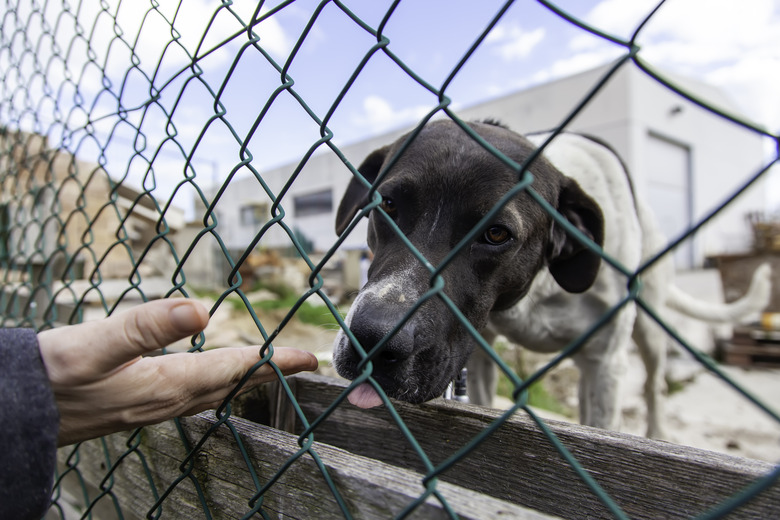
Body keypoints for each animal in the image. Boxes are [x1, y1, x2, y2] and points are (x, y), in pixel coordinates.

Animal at [332, 119, 772, 438]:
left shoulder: (606, 363)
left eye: (496, 234)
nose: (372, 340)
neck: (537, 288)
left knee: (654, 387)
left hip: (647, 327)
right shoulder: (480, 356)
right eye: (387, 205)